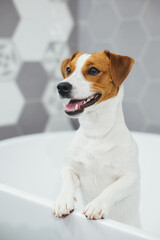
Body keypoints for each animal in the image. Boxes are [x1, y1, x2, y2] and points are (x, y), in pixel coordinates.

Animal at [52, 50, 140, 227]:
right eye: (68, 70)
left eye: (93, 70)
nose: (61, 86)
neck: (96, 133)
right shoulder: (70, 167)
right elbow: (67, 181)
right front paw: (63, 200)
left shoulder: (131, 176)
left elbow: (112, 188)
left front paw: (97, 205)